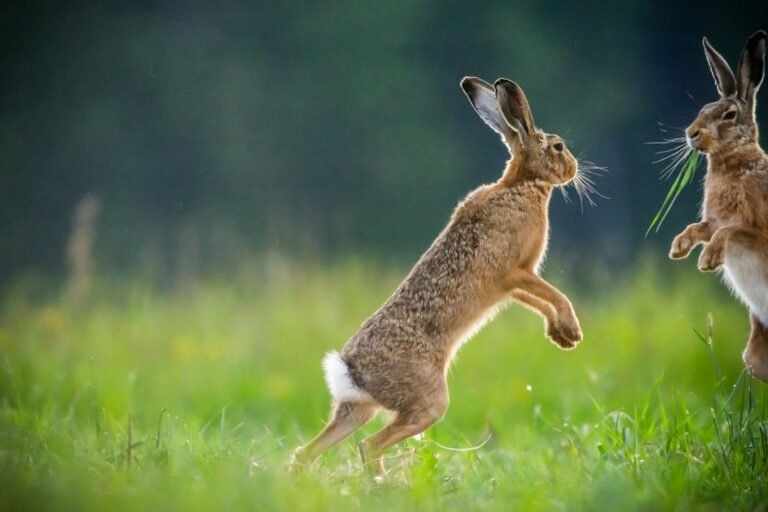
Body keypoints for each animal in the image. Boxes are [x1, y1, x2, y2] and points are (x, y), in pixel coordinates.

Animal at [291, 77, 584, 478]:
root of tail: (351, 371)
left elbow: (539, 301)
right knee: (370, 445)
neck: (521, 185)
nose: (573, 168)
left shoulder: (511, 286)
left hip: (357, 409)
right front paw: (572, 332)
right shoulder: (515, 271)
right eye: (558, 146)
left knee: (308, 451)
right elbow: (554, 294)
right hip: (429, 402)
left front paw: (559, 336)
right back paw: (383, 484)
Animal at [669, 30, 768, 381]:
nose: (691, 133)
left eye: (729, 116)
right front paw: (679, 247)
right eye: (704, 108)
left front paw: (708, 259)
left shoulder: (755, 229)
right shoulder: (713, 220)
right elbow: (701, 228)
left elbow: (731, 232)